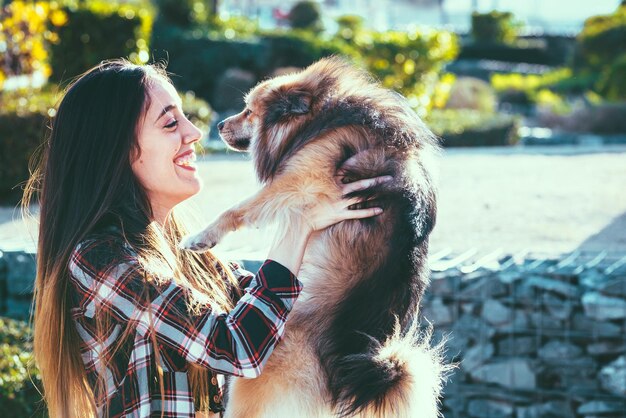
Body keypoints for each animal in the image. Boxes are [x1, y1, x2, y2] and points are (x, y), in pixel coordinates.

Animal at [180, 56, 444, 418]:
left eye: (248, 111)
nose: (218, 126)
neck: (321, 119)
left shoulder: (301, 181)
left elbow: (237, 209)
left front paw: (201, 237)